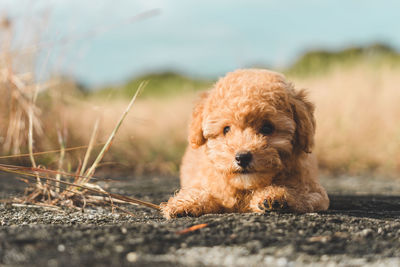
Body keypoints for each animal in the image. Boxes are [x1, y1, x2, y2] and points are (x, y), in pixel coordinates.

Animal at [161, 69, 330, 220]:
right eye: (226, 129)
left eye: (267, 128)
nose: (242, 157)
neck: (245, 187)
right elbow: (202, 191)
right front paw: (184, 203)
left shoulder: (315, 191)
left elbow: (300, 192)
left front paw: (276, 196)